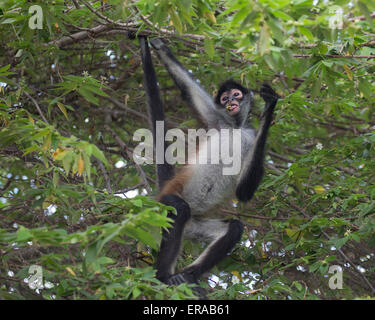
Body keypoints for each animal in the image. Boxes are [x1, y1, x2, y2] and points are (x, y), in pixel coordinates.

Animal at [139, 37, 280, 296]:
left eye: (236, 94)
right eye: (225, 99)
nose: (232, 101)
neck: (234, 127)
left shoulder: (249, 135)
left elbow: (243, 192)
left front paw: (269, 107)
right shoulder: (217, 120)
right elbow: (189, 90)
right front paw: (160, 47)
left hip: (193, 226)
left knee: (233, 228)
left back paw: (187, 276)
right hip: (166, 205)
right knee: (180, 208)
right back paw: (163, 276)